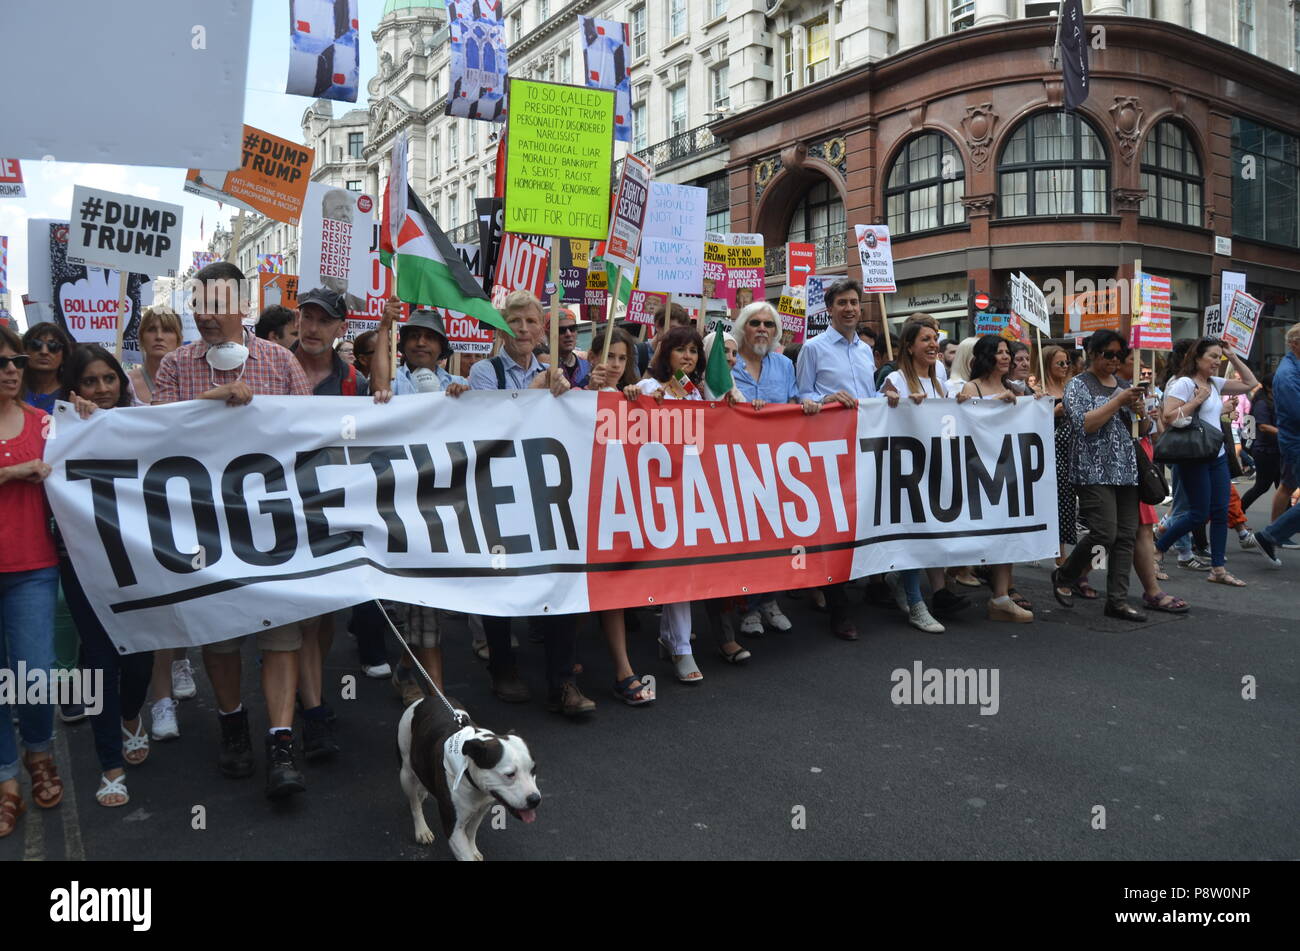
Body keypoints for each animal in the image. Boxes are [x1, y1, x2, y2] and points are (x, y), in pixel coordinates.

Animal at [395, 696, 538, 862]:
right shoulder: (453, 828)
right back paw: (421, 829)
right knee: (414, 803)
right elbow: (464, 853)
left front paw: (473, 850)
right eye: (510, 774)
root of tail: (426, 698)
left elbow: (471, 833)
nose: (536, 799)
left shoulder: (482, 809)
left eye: (534, 770)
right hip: (405, 770)